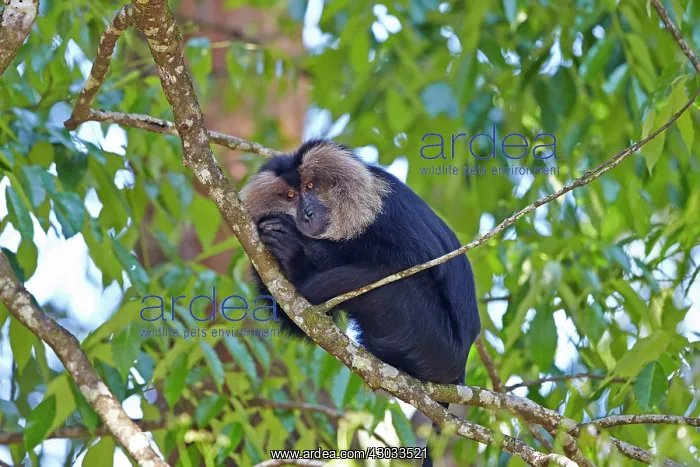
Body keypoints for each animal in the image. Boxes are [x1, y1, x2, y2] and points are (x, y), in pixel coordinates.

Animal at [240, 140, 480, 465]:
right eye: (290, 196)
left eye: (311, 186)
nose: (305, 213)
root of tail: (458, 370)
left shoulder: (388, 211)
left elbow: (409, 260)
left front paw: (300, 249)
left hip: (431, 339)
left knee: (398, 281)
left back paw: (297, 262)